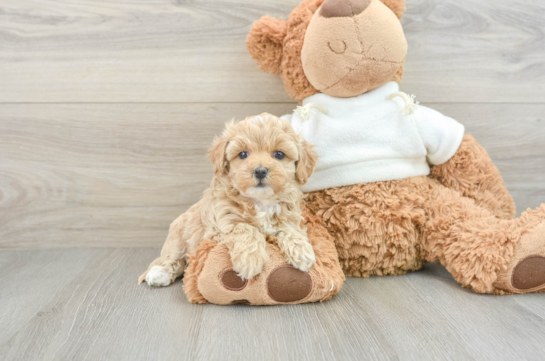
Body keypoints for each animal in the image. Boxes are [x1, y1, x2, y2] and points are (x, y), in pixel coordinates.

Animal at [138, 114, 318, 286]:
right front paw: (250, 260)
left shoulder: (290, 217)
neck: (260, 201)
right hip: (178, 236)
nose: (260, 171)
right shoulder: (217, 229)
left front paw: (301, 250)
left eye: (279, 154)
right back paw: (159, 273)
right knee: (175, 259)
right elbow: (245, 228)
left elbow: (290, 230)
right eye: (243, 154)